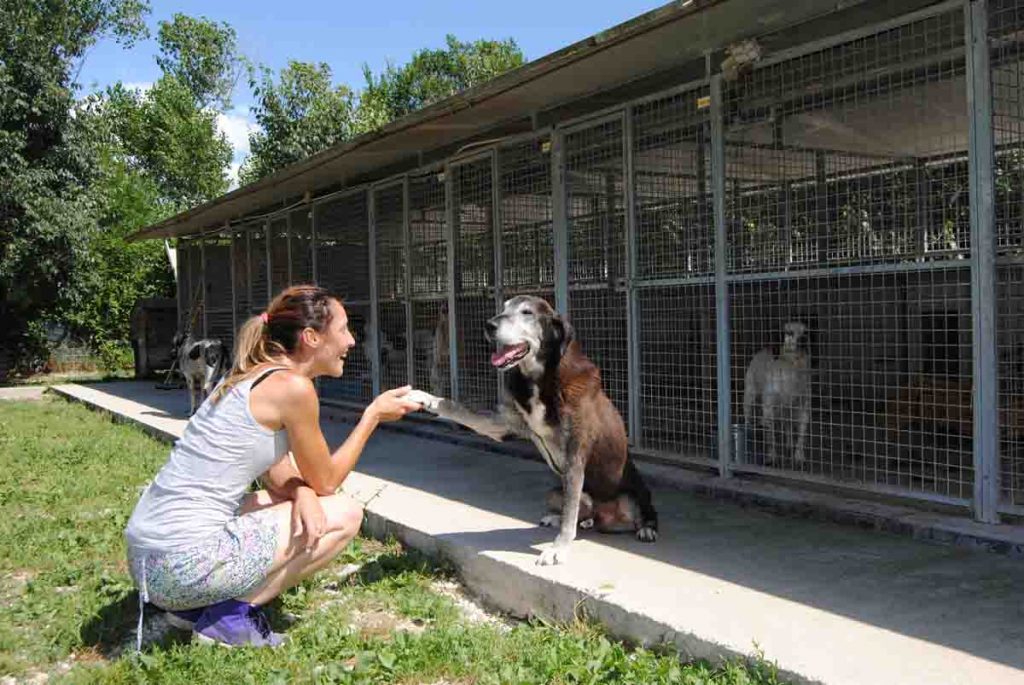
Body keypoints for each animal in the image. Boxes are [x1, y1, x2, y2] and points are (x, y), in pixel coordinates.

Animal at [405, 294, 655, 565]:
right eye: (504, 308)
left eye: (527, 313)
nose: (489, 325)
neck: (540, 380)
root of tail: (602, 516)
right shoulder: (503, 425)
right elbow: (455, 408)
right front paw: (423, 397)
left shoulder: (575, 456)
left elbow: (570, 515)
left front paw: (558, 548)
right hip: (554, 491)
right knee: (578, 509)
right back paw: (565, 518)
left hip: (631, 496)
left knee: (638, 514)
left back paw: (646, 528)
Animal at [741, 321, 811, 464]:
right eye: (789, 332)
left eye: (806, 332)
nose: (803, 339)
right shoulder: (768, 408)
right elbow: (771, 437)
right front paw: (772, 456)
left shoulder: (803, 408)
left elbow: (801, 435)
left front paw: (799, 455)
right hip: (749, 398)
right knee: (748, 418)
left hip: (786, 409)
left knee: (787, 425)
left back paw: (789, 444)